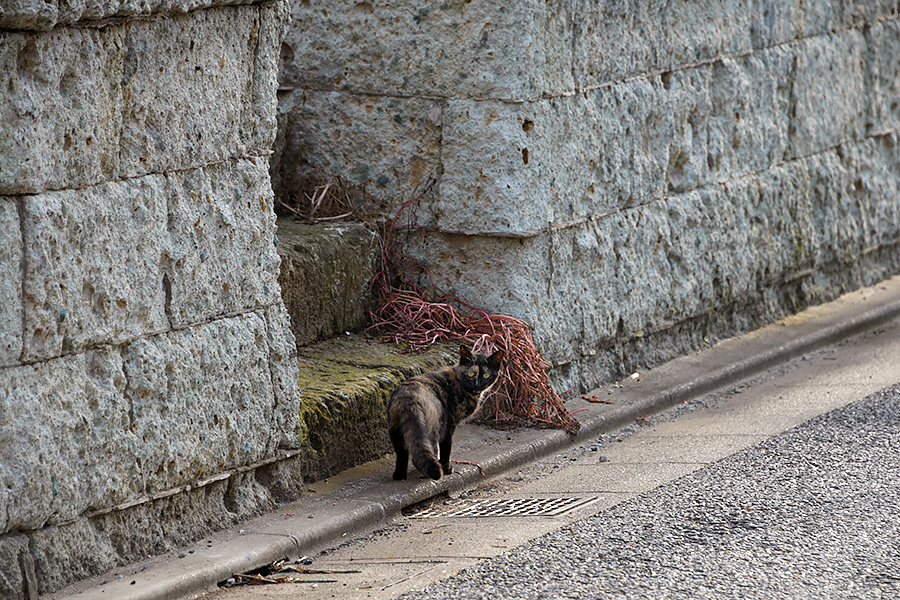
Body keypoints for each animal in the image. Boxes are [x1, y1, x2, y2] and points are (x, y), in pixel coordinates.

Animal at [388, 344, 506, 480]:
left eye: (486, 375)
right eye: (470, 374)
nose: (477, 384)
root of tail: (410, 398)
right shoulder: (449, 426)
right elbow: (446, 448)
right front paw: (447, 469)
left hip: (396, 432)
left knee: (402, 454)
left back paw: (400, 476)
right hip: (432, 429)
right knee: (424, 455)